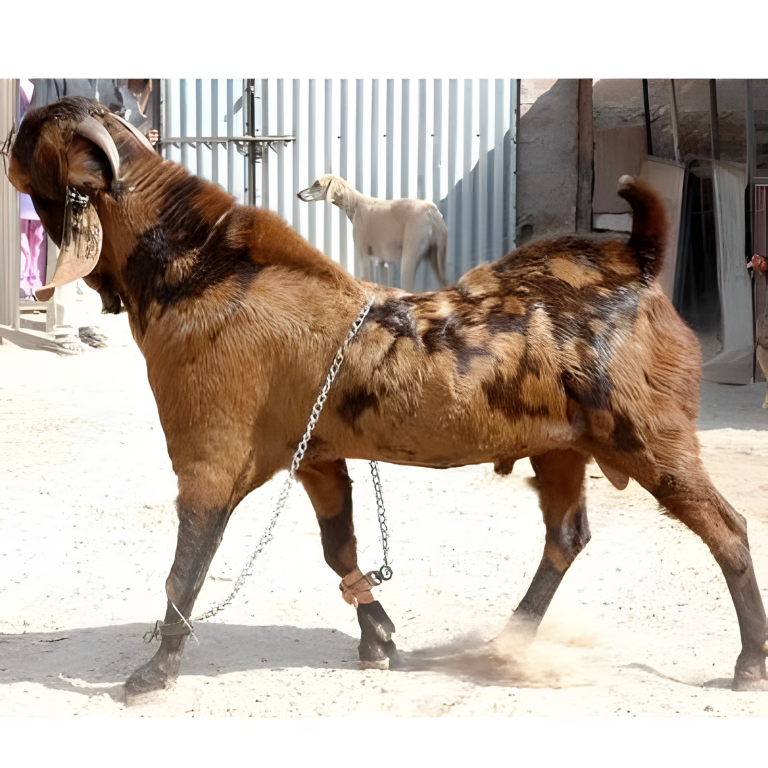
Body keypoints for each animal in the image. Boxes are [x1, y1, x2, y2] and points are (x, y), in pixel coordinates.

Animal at [297, 174, 448, 291]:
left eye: (317, 184)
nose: (297, 194)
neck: (355, 204)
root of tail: (432, 210)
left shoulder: (364, 255)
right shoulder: (380, 260)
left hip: (410, 257)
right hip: (437, 259)